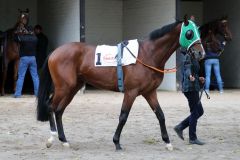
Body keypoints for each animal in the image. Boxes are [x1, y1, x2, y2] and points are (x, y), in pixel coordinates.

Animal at [36, 15, 205, 150]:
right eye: (189, 33)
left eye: (198, 31)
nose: (200, 53)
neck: (147, 54)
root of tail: (55, 52)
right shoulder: (131, 92)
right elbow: (123, 116)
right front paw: (116, 142)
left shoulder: (150, 92)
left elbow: (160, 115)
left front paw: (168, 142)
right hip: (63, 87)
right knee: (50, 106)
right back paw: (51, 138)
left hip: (72, 88)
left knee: (59, 110)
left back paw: (64, 140)